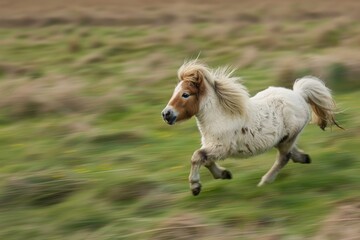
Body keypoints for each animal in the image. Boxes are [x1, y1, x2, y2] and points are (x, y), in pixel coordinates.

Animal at [162, 59, 342, 196]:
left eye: (185, 94)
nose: (166, 114)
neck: (220, 117)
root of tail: (299, 94)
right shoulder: (212, 146)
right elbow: (205, 160)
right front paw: (225, 174)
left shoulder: (222, 148)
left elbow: (197, 157)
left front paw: (195, 187)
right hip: (282, 139)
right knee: (290, 153)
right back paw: (304, 158)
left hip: (288, 137)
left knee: (284, 157)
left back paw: (265, 181)